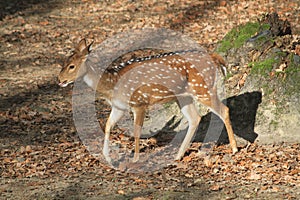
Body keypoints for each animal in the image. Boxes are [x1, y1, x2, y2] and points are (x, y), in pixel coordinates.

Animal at [58, 38, 237, 162]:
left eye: (72, 66)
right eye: (63, 63)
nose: (59, 80)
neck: (112, 84)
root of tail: (214, 57)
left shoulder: (139, 102)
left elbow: (137, 131)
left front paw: (135, 159)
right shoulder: (119, 107)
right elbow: (108, 125)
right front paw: (107, 157)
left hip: (202, 88)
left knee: (224, 110)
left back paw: (234, 148)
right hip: (184, 96)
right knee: (195, 118)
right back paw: (178, 155)